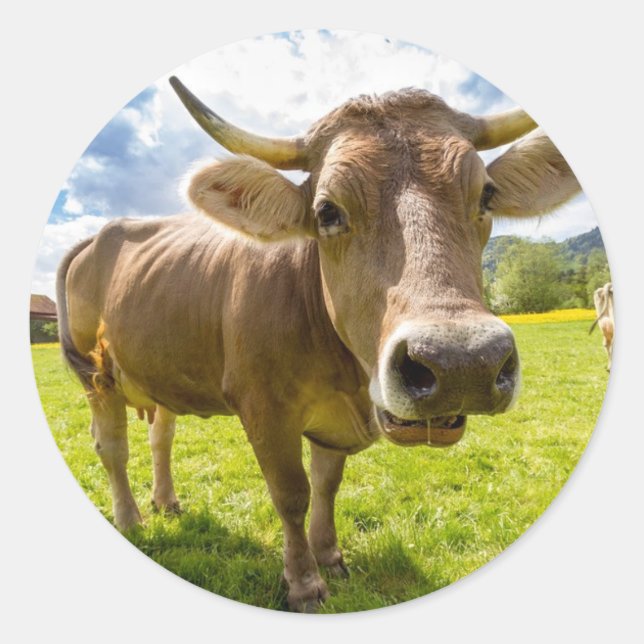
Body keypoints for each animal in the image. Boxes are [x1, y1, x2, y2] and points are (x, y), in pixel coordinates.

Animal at [56, 76, 581, 611]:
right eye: (327, 211)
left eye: (486, 196)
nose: (462, 363)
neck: (346, 378)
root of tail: (101, 234)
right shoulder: (263, 407)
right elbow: (292, 493)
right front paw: (305, 583)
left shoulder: (332, 422)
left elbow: (328, 485)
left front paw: (329, 556)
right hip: (96, 375)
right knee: (112, 448)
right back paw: (131, 520)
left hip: (158, 369)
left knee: (160, 436)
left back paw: (166, 502)